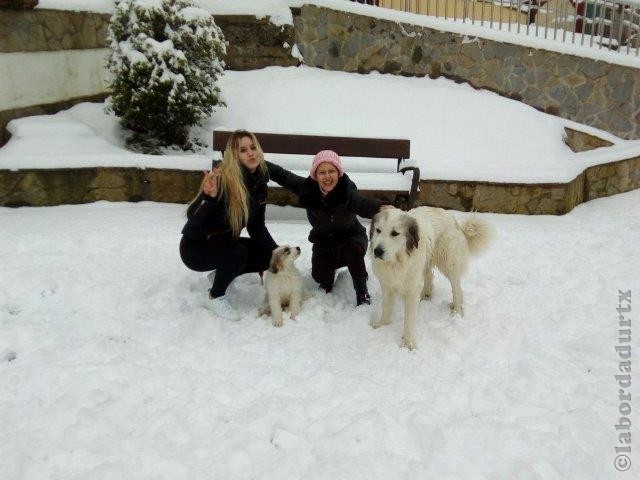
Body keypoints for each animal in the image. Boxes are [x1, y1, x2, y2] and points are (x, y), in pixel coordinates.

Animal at [368, 206, 492, 348]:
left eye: (394, 233)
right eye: (378, 230)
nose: (377, 251)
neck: (396, 262)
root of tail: (451, 217)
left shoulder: (411, 290)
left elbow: (409, 319)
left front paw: (408, 343)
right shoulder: (387, 285)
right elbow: (386, 307)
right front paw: (382, 325)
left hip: (449, 263)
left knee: (457, 288)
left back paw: (457, 311)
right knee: (429, 275)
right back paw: (425, 295)